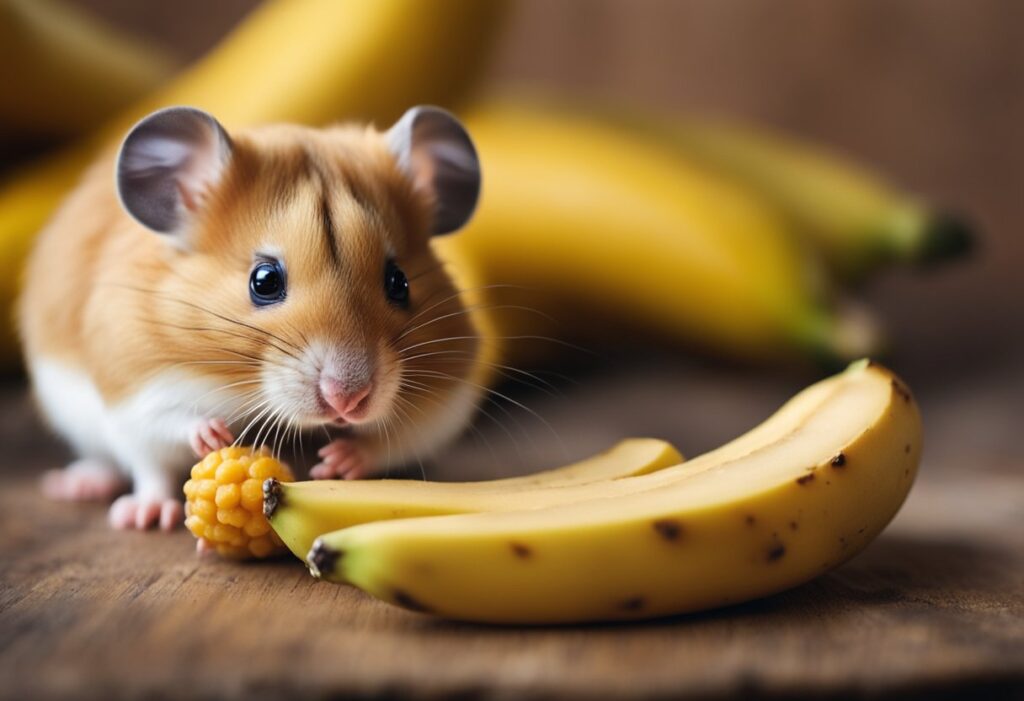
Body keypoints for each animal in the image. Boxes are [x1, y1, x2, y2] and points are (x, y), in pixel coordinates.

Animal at [17, 105, 484, 531]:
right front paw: (213, 436)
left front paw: (338, 459)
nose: (348, 401)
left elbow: (400, 436)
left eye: (399, 282)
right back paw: (97, 494)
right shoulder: (134, 387)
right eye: (264, 281)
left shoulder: (442, 401)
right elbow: (160, 438)